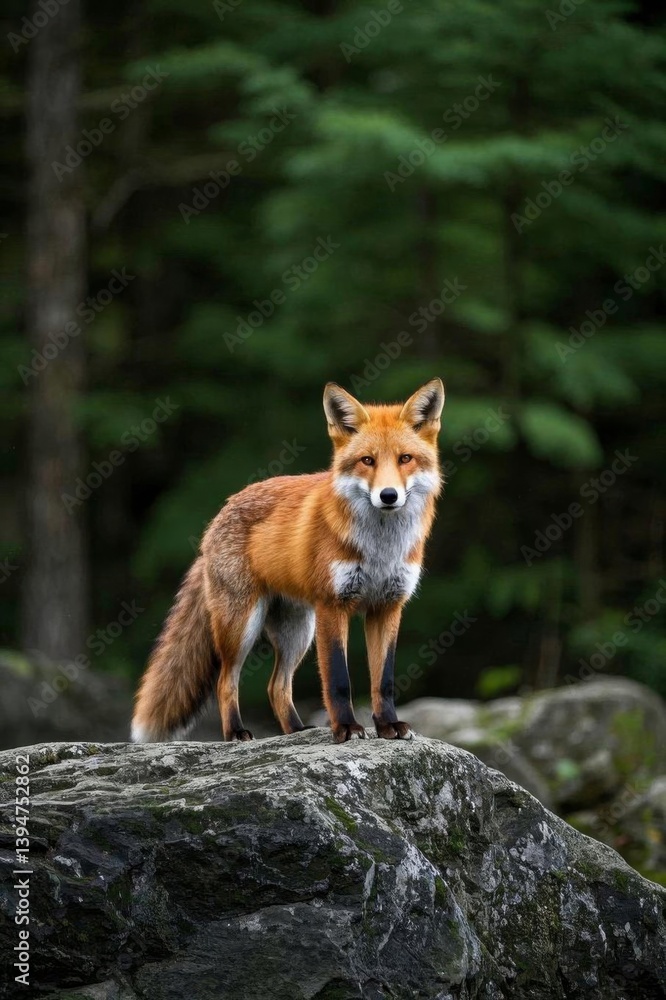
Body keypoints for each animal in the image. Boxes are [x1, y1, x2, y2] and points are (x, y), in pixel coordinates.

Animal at [131, 377, 445, 745]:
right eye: (367, 460)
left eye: (405, 458)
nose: (388, 496)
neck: (380, 549)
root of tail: (220, 513)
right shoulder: (332, 605)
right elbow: (338, 680)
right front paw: (346, 728)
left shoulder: (388, 607)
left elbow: (384, 681)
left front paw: (388, 725)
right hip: (242, 625)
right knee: (227, 682)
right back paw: (236, 731)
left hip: (298, 632)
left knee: (276, 686)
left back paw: (295, 730)